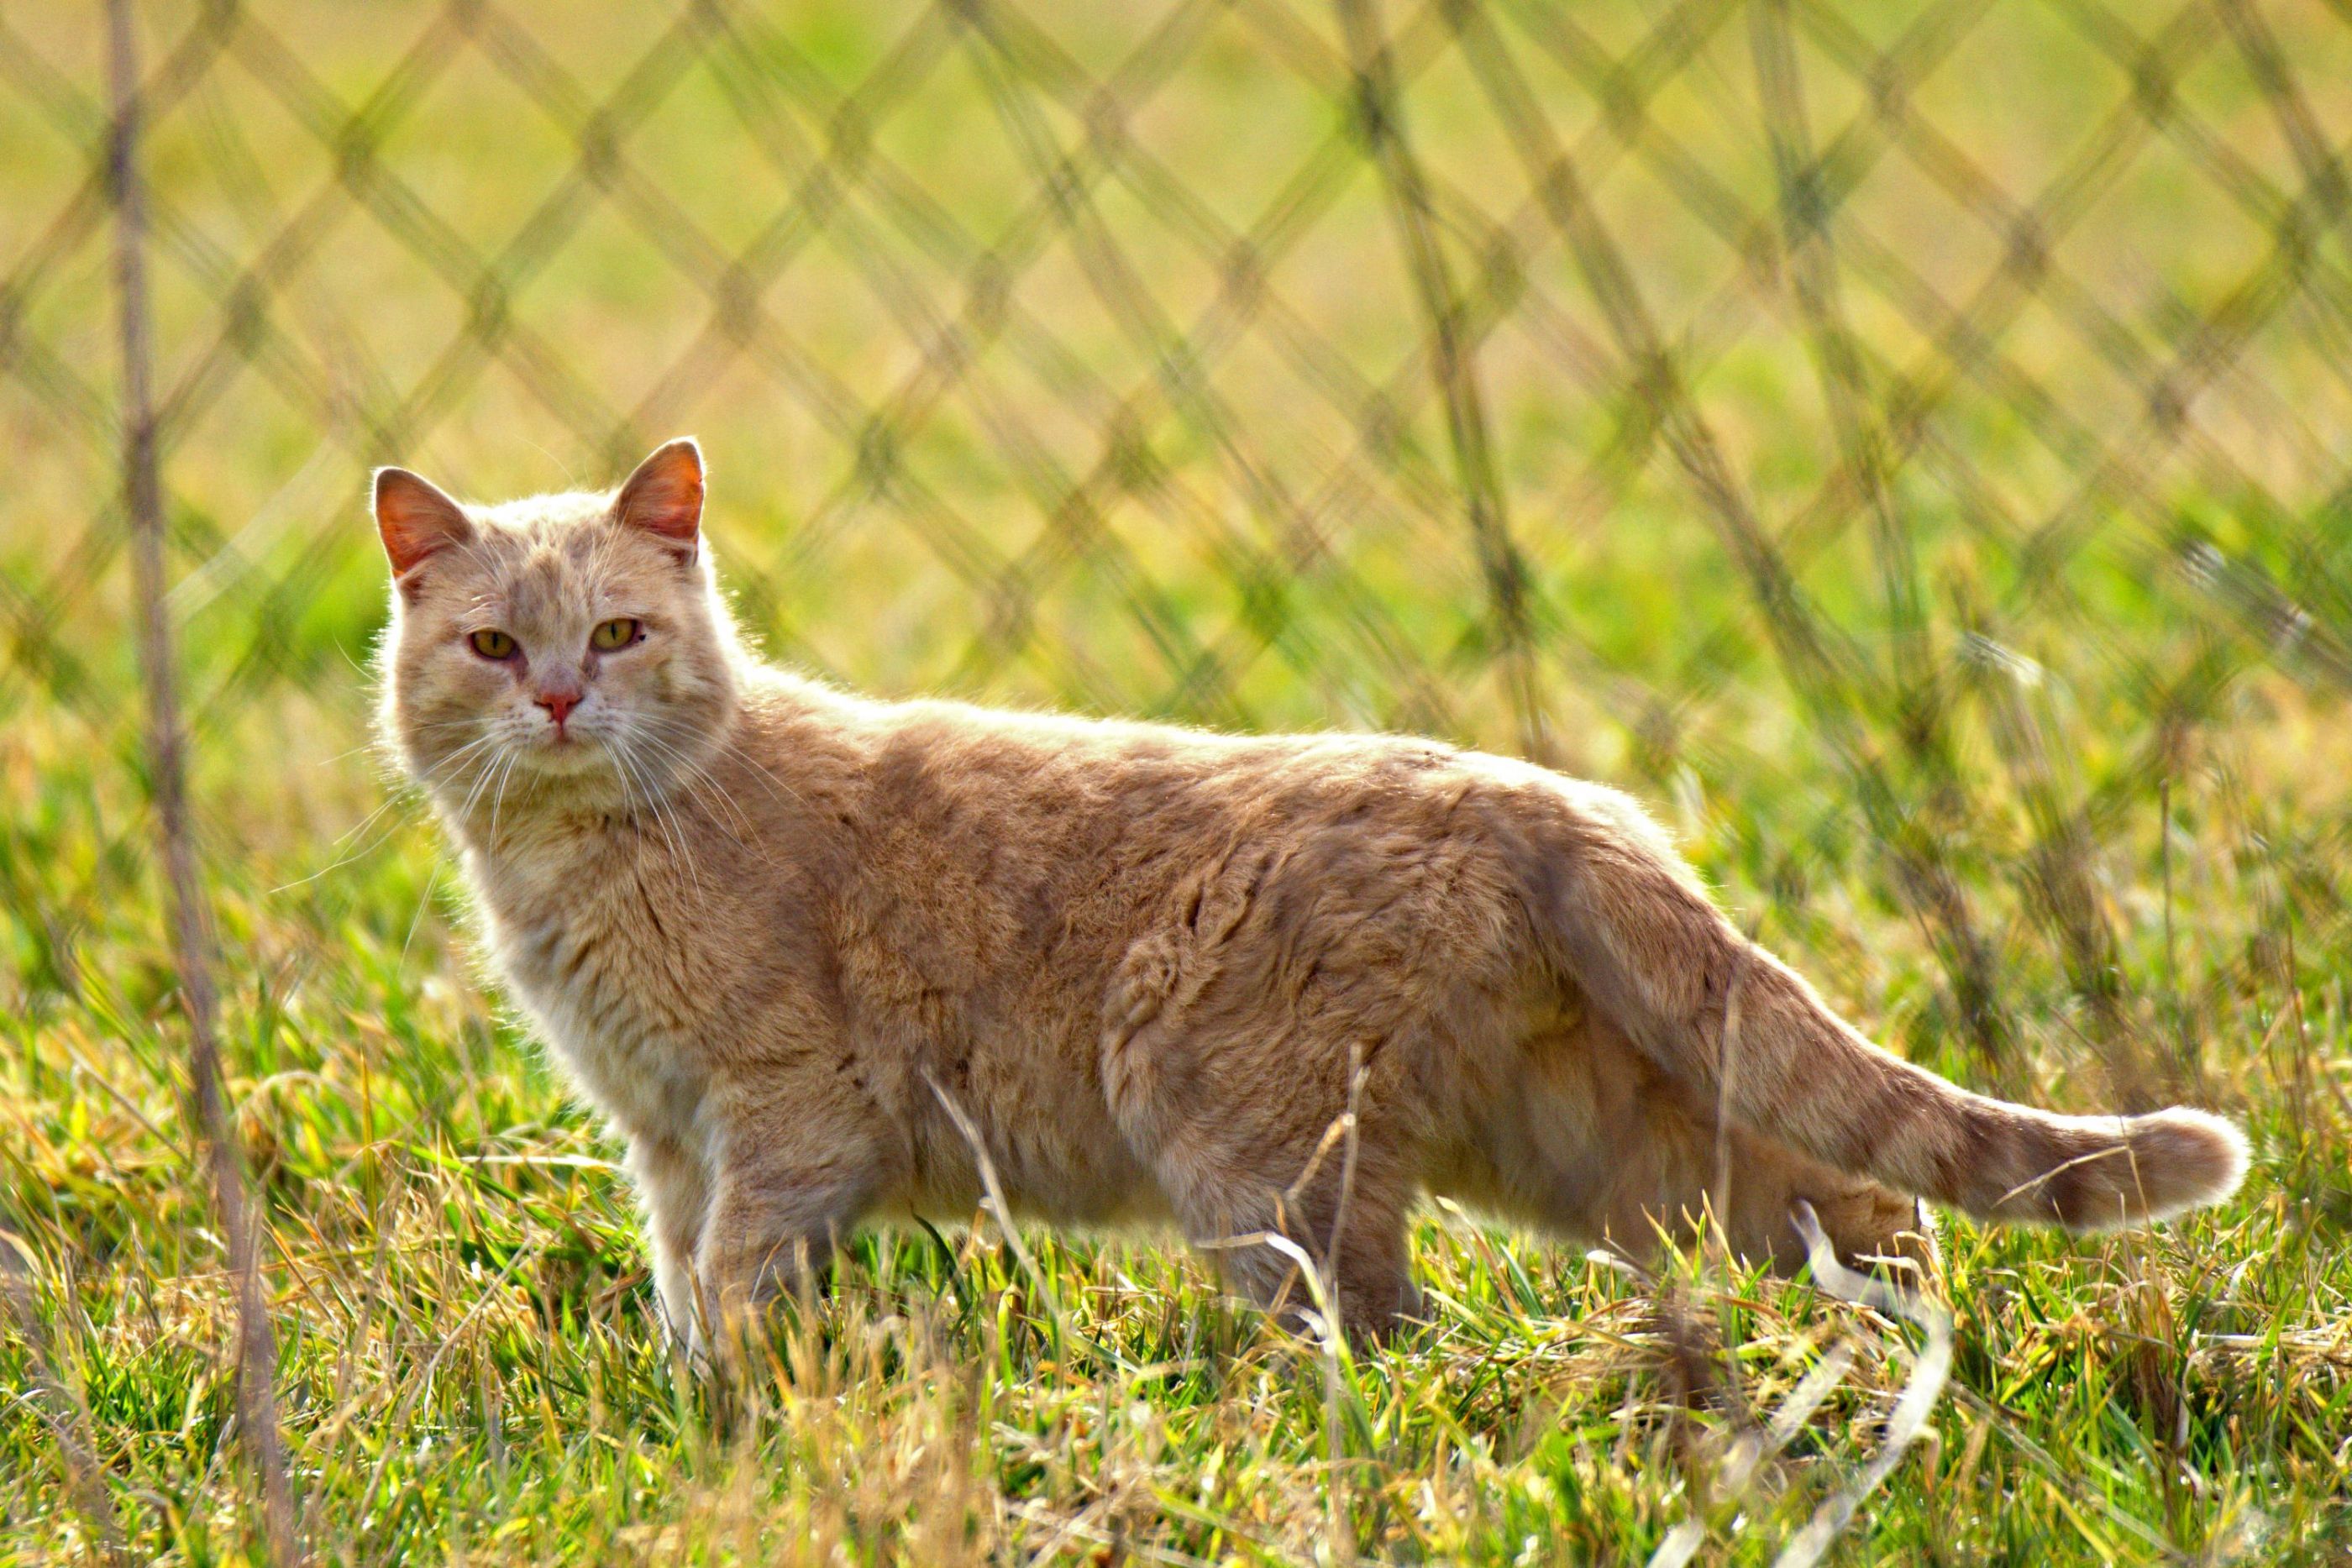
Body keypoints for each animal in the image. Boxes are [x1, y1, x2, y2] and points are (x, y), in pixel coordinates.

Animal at [376, 439, 2248, 1354]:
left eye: (620, 631)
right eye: (494, 644)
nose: (561, 699)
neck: (589, 855)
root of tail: (1537, 789)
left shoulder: (784, 1116)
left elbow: (743, 1280)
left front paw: (745, 1426)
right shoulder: (664, 1140)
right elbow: (681, 1280)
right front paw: (695, 1405)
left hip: (1238, 1145)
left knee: (1389, 1340)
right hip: (1593, 1136)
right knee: (1862, 1212)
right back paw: (1897, 1386)